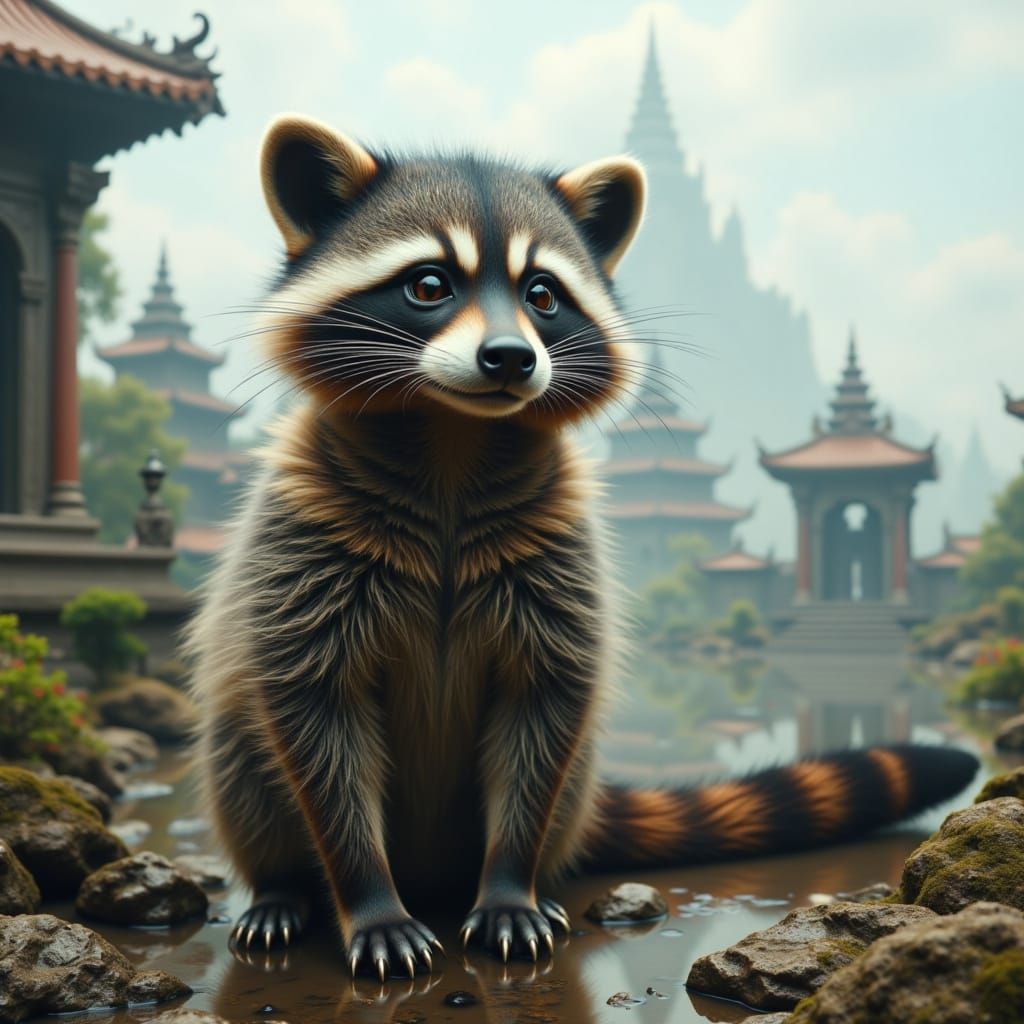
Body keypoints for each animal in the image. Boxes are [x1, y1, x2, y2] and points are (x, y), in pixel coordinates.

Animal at [186, 115, 978, 980]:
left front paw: (510, 888)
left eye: (542, 295)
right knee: (241, 758)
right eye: (428, 285)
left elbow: (544, 708)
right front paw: (368, 900)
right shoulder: (301, 541)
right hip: (239, 749)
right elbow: (316, 716)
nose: (510, 357)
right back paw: (280, 888)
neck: (454, 435)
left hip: (572, 786)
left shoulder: (560, 552)